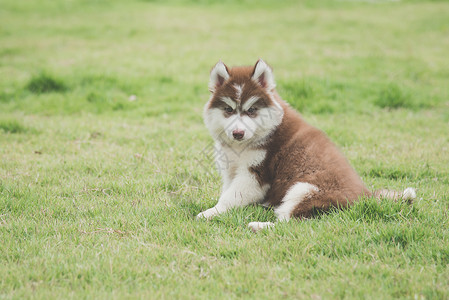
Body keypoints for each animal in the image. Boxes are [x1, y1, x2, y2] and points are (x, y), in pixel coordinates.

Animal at [198, 59, 414, 232]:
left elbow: (231, 196)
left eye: (251, 110)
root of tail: (366, 196)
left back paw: (259, 225)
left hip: (303, 189)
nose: (238, 133)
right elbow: (228, 192)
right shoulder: (231, 171)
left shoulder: (255, 175)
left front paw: (210, 212)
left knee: (290, 221)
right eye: (228, 110)